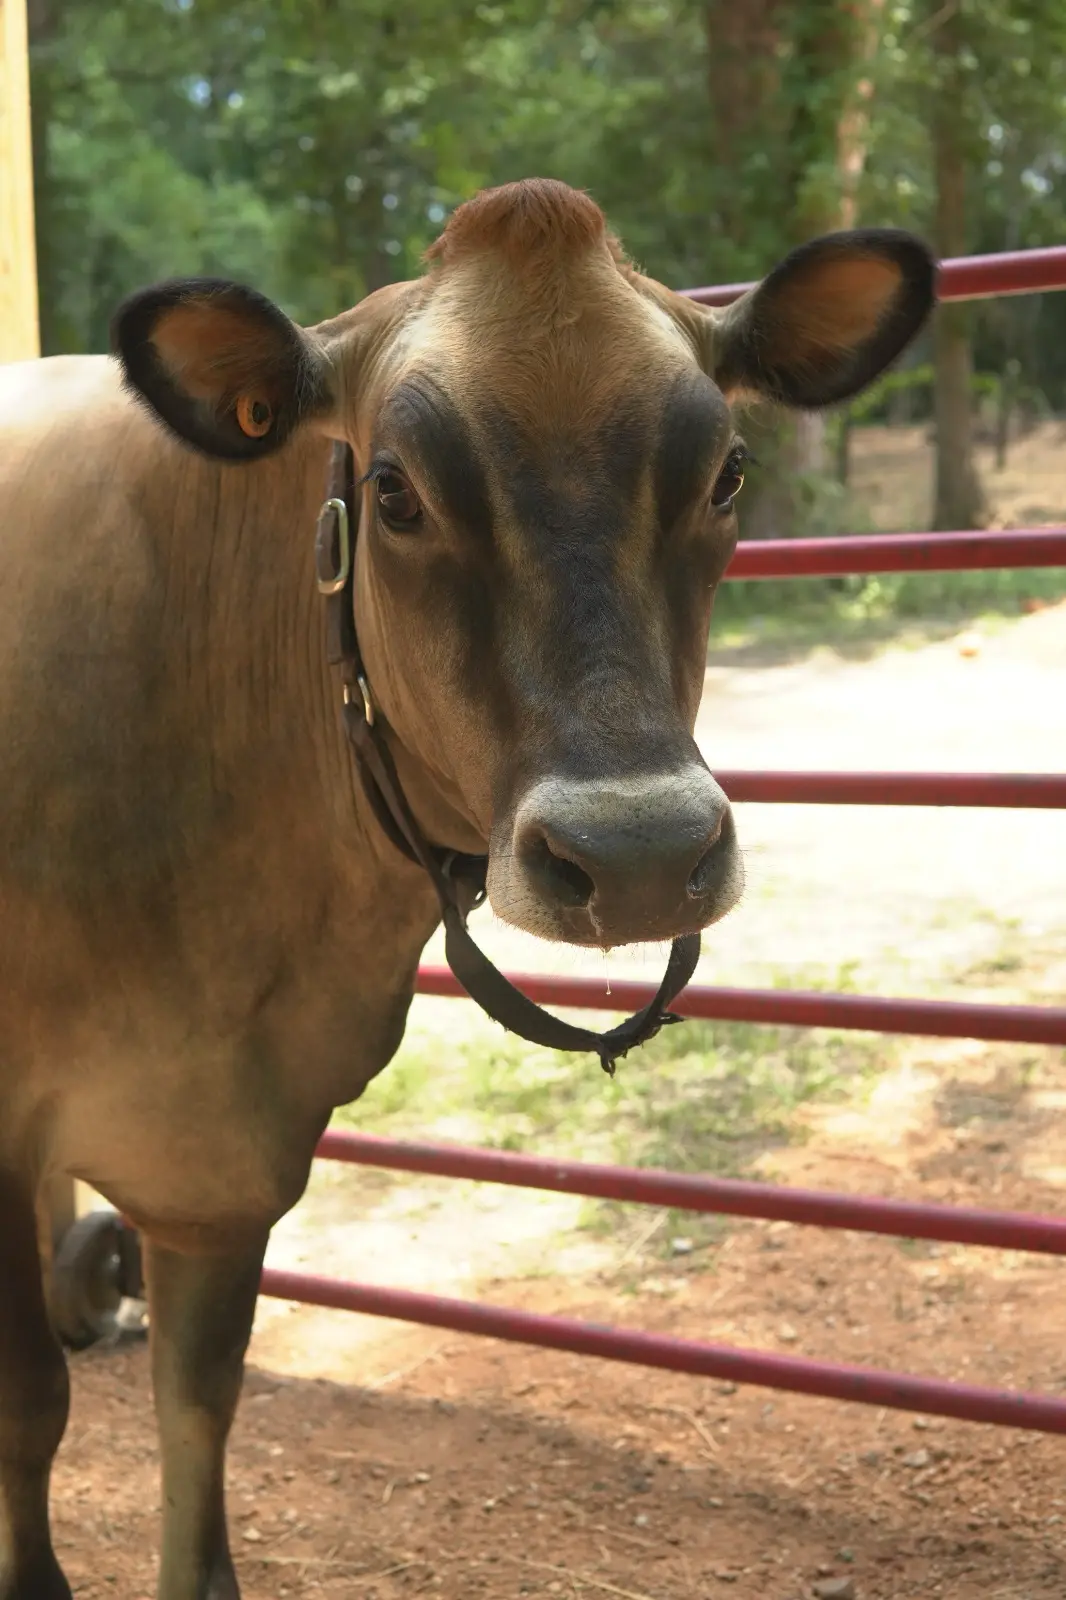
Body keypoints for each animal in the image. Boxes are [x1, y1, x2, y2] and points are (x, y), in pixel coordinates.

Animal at [0, 179, 934, 1598]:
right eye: (393, 490)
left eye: (725, 472)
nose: (639, 854)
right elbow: (29, 1408)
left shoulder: (229, 1149)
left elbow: (200, 1406)